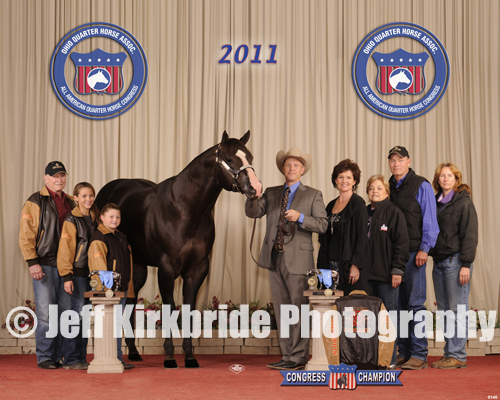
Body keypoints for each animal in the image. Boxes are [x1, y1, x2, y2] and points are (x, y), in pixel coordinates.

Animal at [95, 131, 261, 368]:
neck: (185, 209)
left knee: (131, 302)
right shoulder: (166, 268)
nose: (256, 188)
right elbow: (169, 308)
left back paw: (134, 352)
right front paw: (170, 357)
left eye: (250, 157)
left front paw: (190, 356)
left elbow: (188, 309)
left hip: (137, 268)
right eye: (229, 159)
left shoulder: (197, 269)